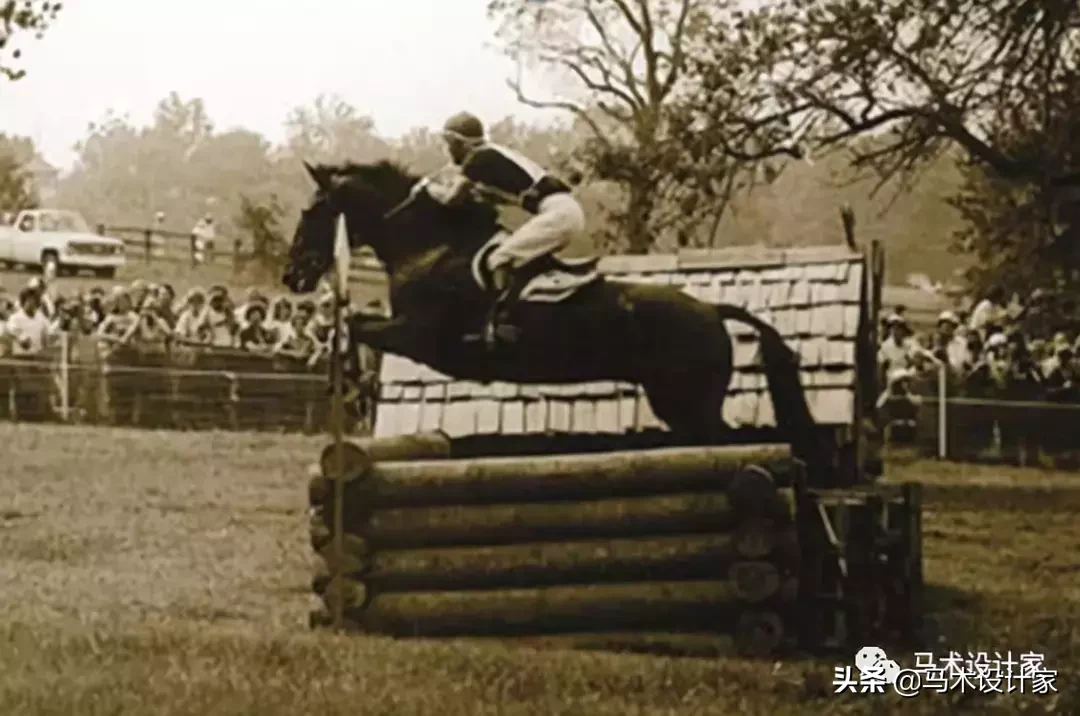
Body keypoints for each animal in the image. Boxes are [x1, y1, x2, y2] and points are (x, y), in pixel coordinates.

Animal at [280, 161, 825, 473]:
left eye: (311, 213)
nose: (291, 276)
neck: (429, 246)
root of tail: (712, 309)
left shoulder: (422, 337)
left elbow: (356, 325)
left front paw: (347, 380)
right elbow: (354, 324)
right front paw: (344, 380)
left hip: (688, 403)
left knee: (728, 445)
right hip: (681, 406)